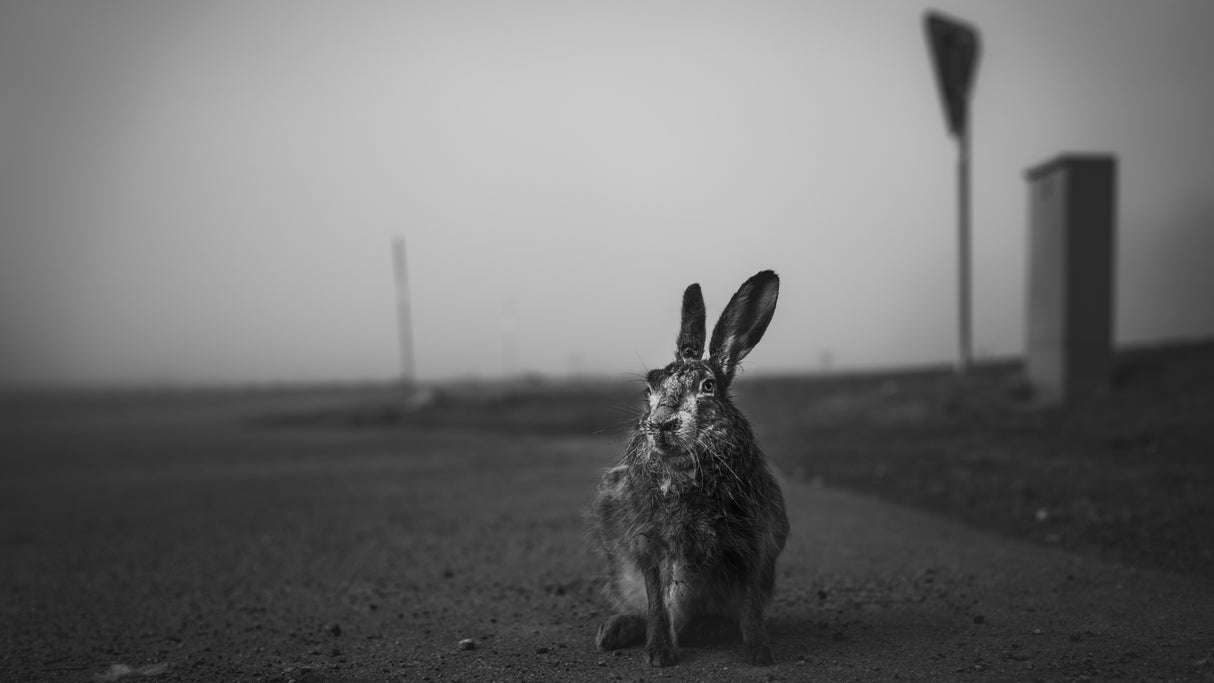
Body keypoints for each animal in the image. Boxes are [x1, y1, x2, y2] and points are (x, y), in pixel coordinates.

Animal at [588, 269, 789, 667]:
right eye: (649, 388)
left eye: (708, 386)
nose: (662, 423)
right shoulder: (648, 542)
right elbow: (656, 602)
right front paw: (659, 654)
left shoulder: (752, 540)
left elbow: (751, 605)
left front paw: (759, 653)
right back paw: (615, 630)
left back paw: (711, 629)